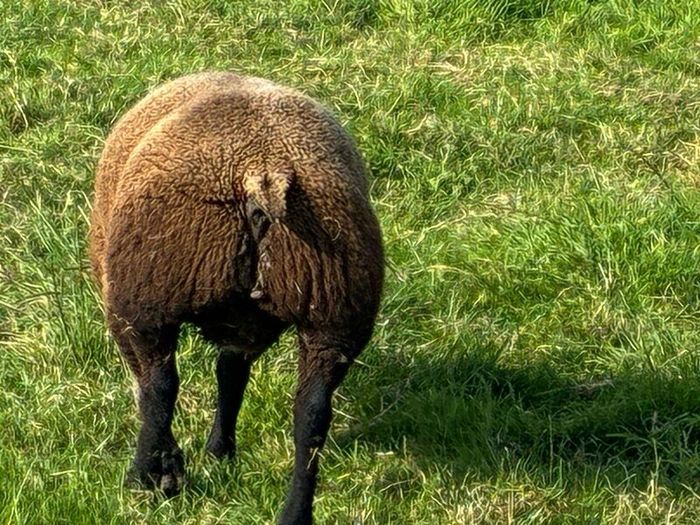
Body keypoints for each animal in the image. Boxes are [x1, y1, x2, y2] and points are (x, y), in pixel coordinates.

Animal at [89, 71, 384, 525]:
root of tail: (261, 173)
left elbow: (151, 384)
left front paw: (170, 465)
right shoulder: (246, 327)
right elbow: (232, 374)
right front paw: (218, 449)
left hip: (147, 290)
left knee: (159, 386)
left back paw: (145, 477)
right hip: (336, 309)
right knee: (312, 414)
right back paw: (294, 511)